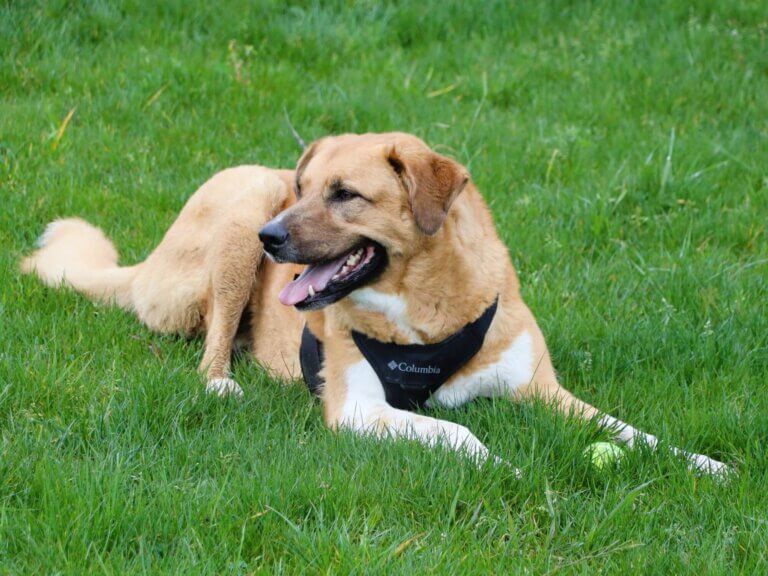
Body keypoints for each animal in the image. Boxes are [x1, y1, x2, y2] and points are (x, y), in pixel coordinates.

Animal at [21, 132, 729, 476]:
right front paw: (506, 465)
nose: (274, 239)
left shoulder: (543, 390)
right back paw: (224, 383)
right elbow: (459, 431)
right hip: (242, 207)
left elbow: (632, 430)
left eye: (345, 194)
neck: (427, 308)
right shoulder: (358, 409)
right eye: (305, 187)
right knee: (211, 347)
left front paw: (705, 463)